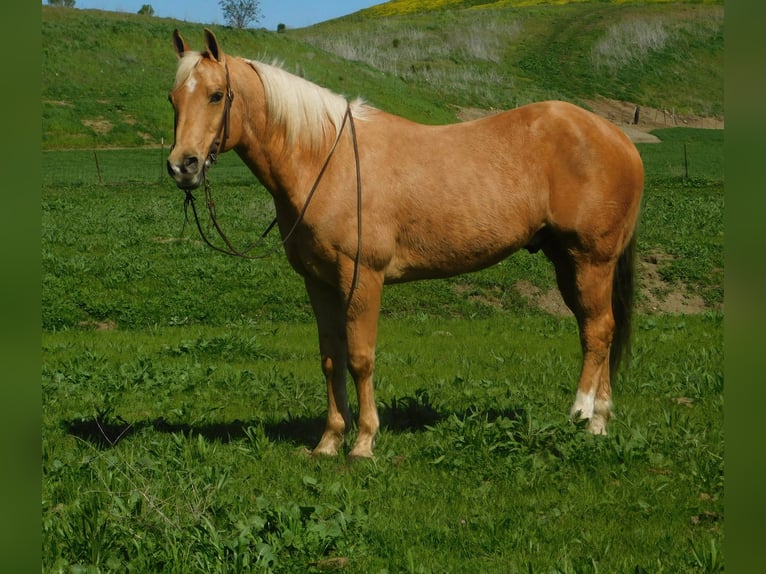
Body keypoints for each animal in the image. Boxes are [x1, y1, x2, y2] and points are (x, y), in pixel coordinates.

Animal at [166, 29, 640, 462]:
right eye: (173, 99)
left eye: (216, 95)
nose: (182, 165)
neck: (326, 160)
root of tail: (617, 138)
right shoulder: (320, 284)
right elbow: (331, 358)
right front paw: (329, 441)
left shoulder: (362, 278)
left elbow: (360, 357)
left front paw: (363, 443)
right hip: (568, 262)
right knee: (597, 328)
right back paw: (602, 419)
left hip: (591, 260)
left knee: (598, 330)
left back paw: (585, 415)